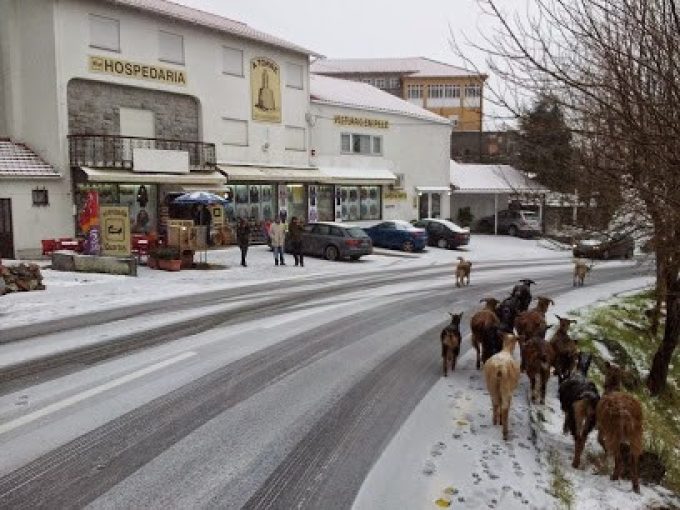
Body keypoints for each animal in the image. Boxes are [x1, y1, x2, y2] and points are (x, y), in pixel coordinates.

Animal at [596, 360, 644, 492]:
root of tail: (627, 412)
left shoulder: (602, 427)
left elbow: (599, 439)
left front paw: (606, 451)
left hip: (615, 432)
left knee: (619, 457)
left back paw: (614, 476)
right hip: (637, 434)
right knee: (633, 459)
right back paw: (636, 486)